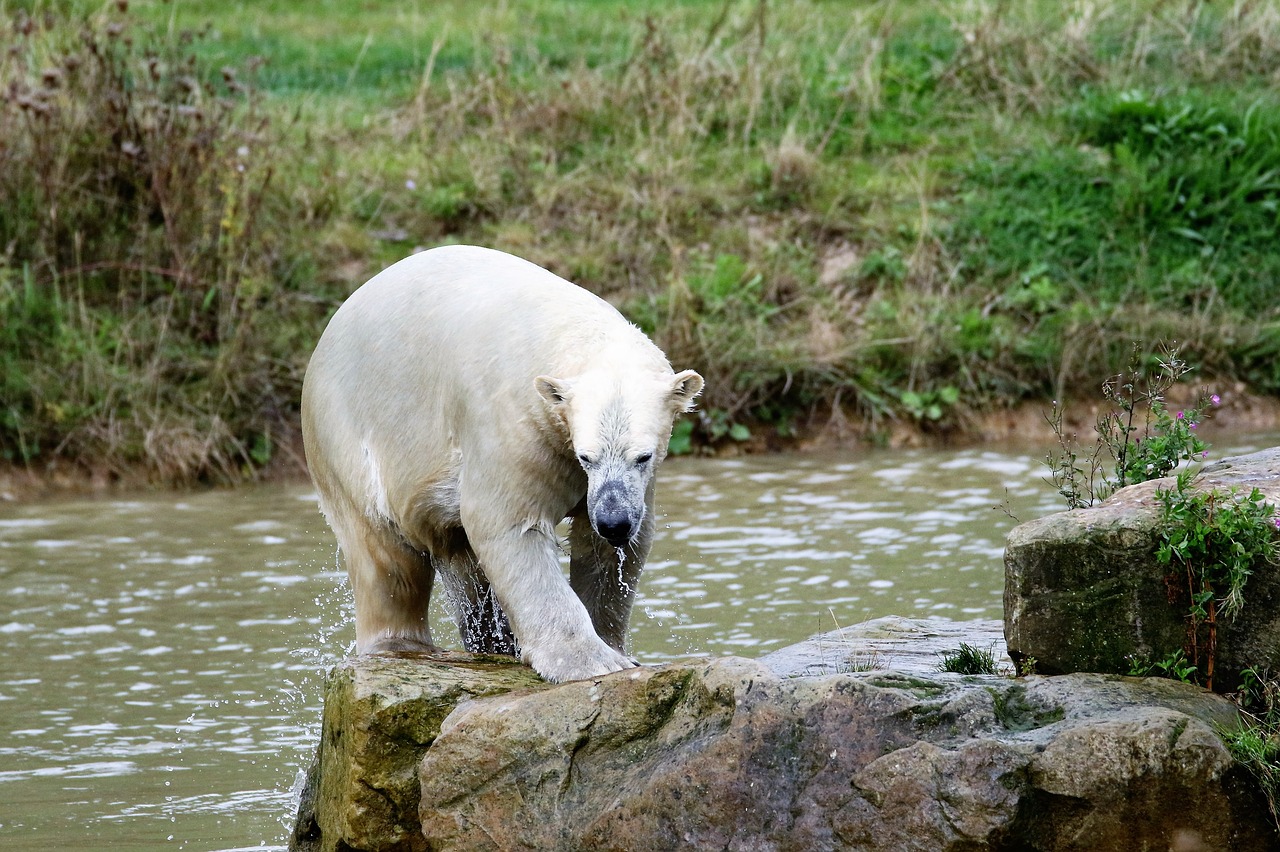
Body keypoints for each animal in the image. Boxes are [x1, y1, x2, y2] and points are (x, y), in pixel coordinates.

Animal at [300, 241, 706, 680]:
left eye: (643, 456)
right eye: (586, 456)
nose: (613, 522)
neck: (566, 330)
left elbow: (610, 549)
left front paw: (617, 647)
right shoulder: (511, 424)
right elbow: (509, 526)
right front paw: (590, 661)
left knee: (460, 562)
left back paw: (493, 644)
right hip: (346, 435)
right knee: (385, 555)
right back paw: (402, 645)